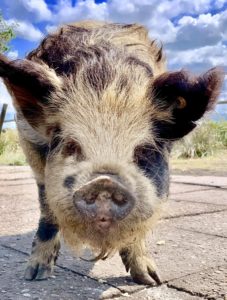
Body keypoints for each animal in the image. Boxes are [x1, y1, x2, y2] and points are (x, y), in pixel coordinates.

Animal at [0, 21, 223, 286]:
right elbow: (47, 208)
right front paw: (34, 276)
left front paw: (151, 280)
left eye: (144, 150)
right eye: (71, 145)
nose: (104, 182)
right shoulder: (32, 146)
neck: (108, 84)